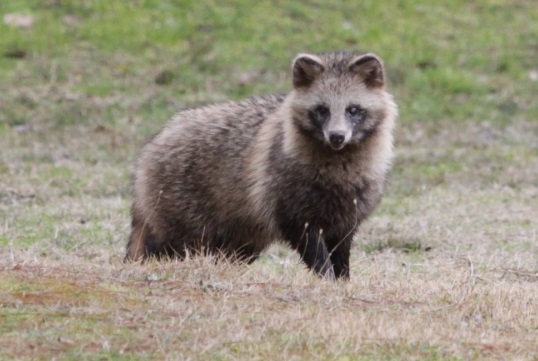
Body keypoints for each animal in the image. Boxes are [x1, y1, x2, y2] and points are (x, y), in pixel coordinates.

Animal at [124, 52, 394, 280]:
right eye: (322, 110)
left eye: (353, 109)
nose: (337, 137)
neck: (339, 165)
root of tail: (154, 143)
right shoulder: (289, 201)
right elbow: (311, 246)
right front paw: (325, 277)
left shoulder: (350, 209)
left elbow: (342, 250)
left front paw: (342, 280)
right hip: (181, 212)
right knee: (163, 246)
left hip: (243, 235)